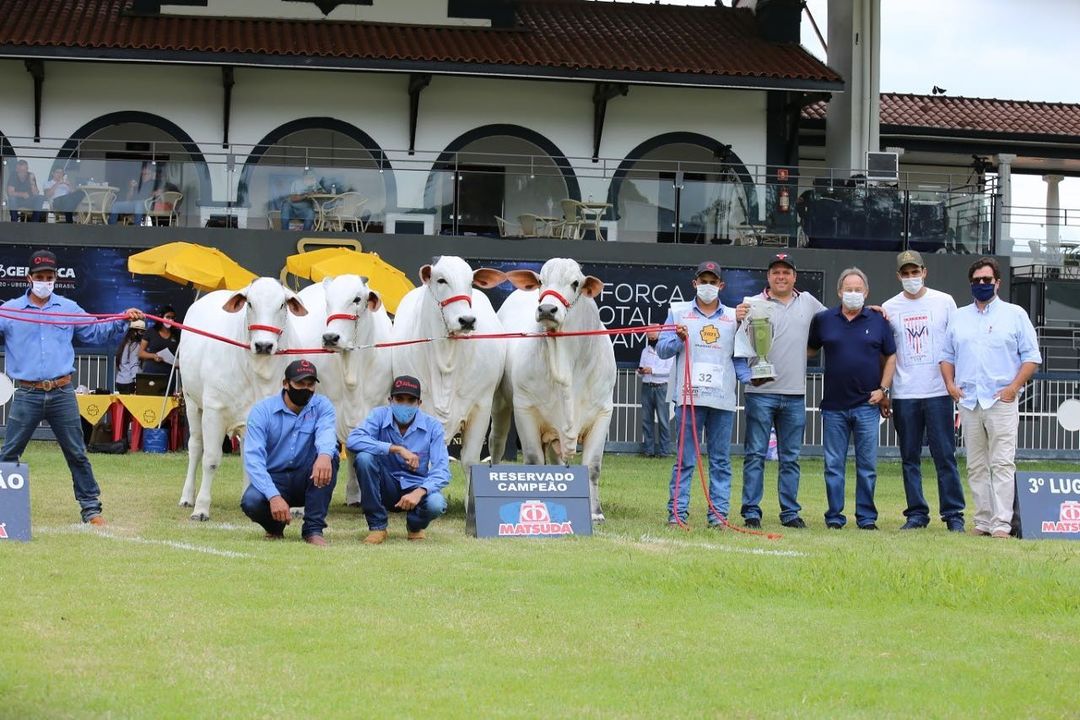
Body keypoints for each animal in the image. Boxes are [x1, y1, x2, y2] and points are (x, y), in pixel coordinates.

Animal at [177, 274, 311, 518]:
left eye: (282, 304)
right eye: (249, 303)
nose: (264, 345)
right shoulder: (213, 411)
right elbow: (211, 459)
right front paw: (201, 508)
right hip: (192, 404)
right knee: (195, 447)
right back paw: (187, 497)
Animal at [490, 255, 617, 520]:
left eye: (575, 283)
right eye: (541, 281)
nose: (547, 309)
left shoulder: (603, 412)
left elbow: (592, 466)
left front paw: (595, 512)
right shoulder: (525, 410)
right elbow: (533, 461)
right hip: (500, 404)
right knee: (496, 442)